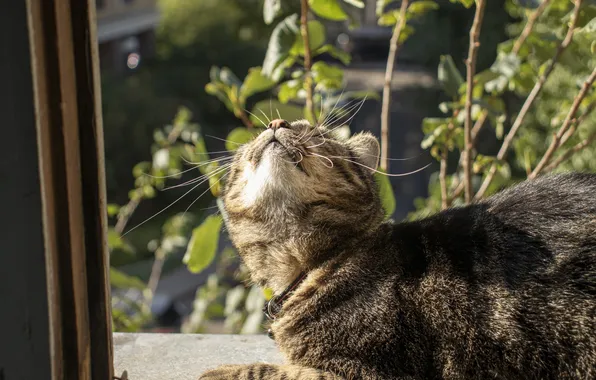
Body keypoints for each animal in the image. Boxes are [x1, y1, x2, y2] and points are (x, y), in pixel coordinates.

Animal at [198, 119, 592, 380]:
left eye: (310, 129)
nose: (277, 122)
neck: (314, 265)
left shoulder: (369, 372)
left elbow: (278, 372)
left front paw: (222, 372)